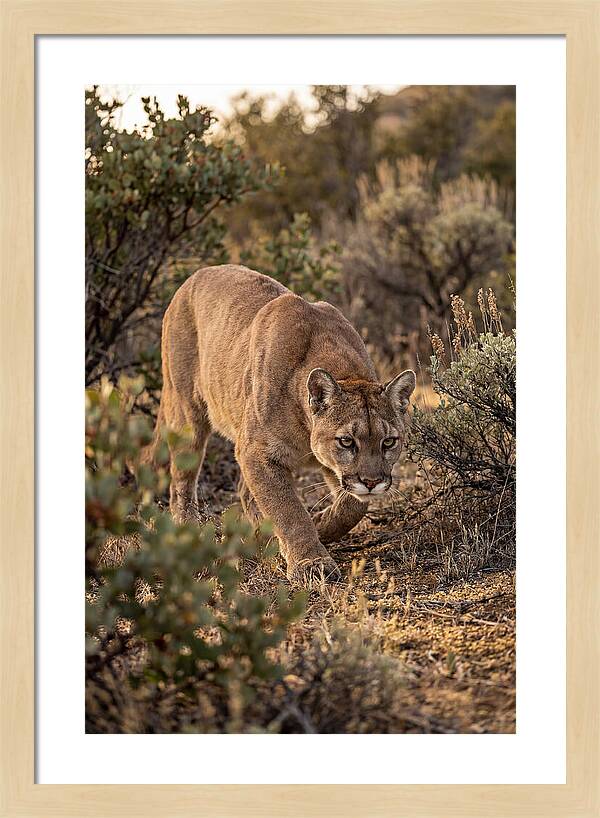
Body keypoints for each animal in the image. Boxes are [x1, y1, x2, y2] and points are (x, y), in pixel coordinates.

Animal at [143, 265, 416, 585]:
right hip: (188, 412)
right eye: (347, 441)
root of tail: (195, 275)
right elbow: (288, 509)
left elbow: (353, 505)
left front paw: (321, 524)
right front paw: (312, 563)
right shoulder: (257, 452)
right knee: (182, 481)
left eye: (389, 442)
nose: (372, 482)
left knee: (244, 490)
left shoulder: (326, 466)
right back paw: (191, 531)